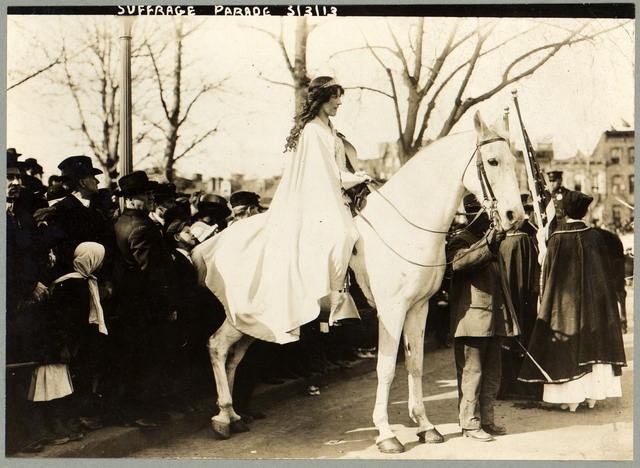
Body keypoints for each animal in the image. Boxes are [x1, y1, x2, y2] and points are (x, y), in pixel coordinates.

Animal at [195, 110, 524, 454]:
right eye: (492, 161)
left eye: (514, 160)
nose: (515, 215)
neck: (404, 227)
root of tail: (214, 242)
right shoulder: (391, 312)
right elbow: (387, 368)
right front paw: (386, 434)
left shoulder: (418, 308)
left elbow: (415, 364)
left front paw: (425, 426)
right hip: (244, 316)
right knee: (217, 346)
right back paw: (222, 417)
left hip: (257, 323)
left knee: (233, 356)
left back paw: (233, 415)